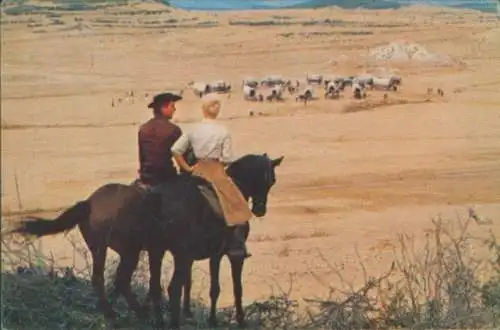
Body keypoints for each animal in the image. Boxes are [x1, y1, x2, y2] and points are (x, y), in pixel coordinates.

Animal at [11, 153, 284, 328]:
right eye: (271, 179)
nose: (260, 209)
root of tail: (89, 202)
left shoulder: (187, 254)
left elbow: (191, 285)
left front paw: (193, 315)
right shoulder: (224, 254)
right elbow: (228, 288)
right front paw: (230, 321)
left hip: (103, 249)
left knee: (103, 280)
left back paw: (116, 313)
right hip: (132, 251)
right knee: (128, 281)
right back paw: (143, 315)